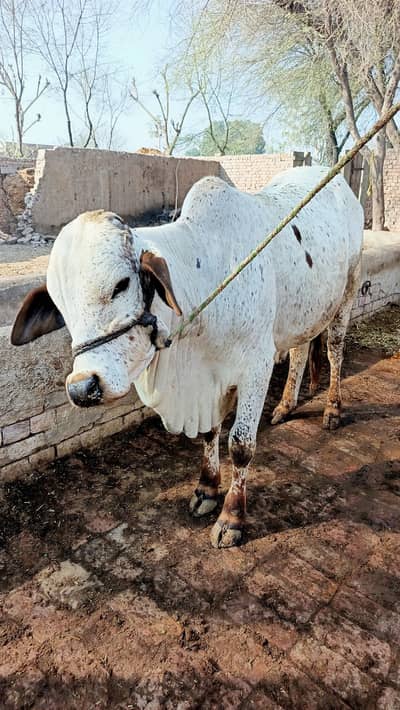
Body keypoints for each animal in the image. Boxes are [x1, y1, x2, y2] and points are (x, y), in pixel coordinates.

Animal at [11, 167, 364, 548]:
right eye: (60, 306)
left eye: (121, 285)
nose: (82, 388)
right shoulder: (209, 381)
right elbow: (210, 433)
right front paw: (207, 489)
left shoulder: (256, 366)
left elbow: (240, 444)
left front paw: (232, 518)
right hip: (306, 311)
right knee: (300, 351)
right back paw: (285, 405)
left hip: (348, 290)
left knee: (334, 350)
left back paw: (332, 410)